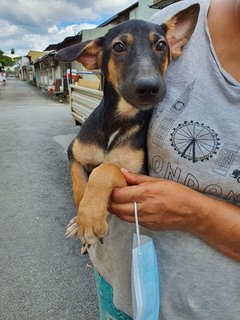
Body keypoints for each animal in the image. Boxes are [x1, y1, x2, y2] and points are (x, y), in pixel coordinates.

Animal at [55, 3, 199, 252]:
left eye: (161, 46)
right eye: (119, 47)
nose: (149, 88)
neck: (117, 123)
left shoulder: (134, 177)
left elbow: (106, 169)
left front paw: (89, 217)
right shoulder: (73, 152)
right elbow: (78, 185)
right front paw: (81, 216)